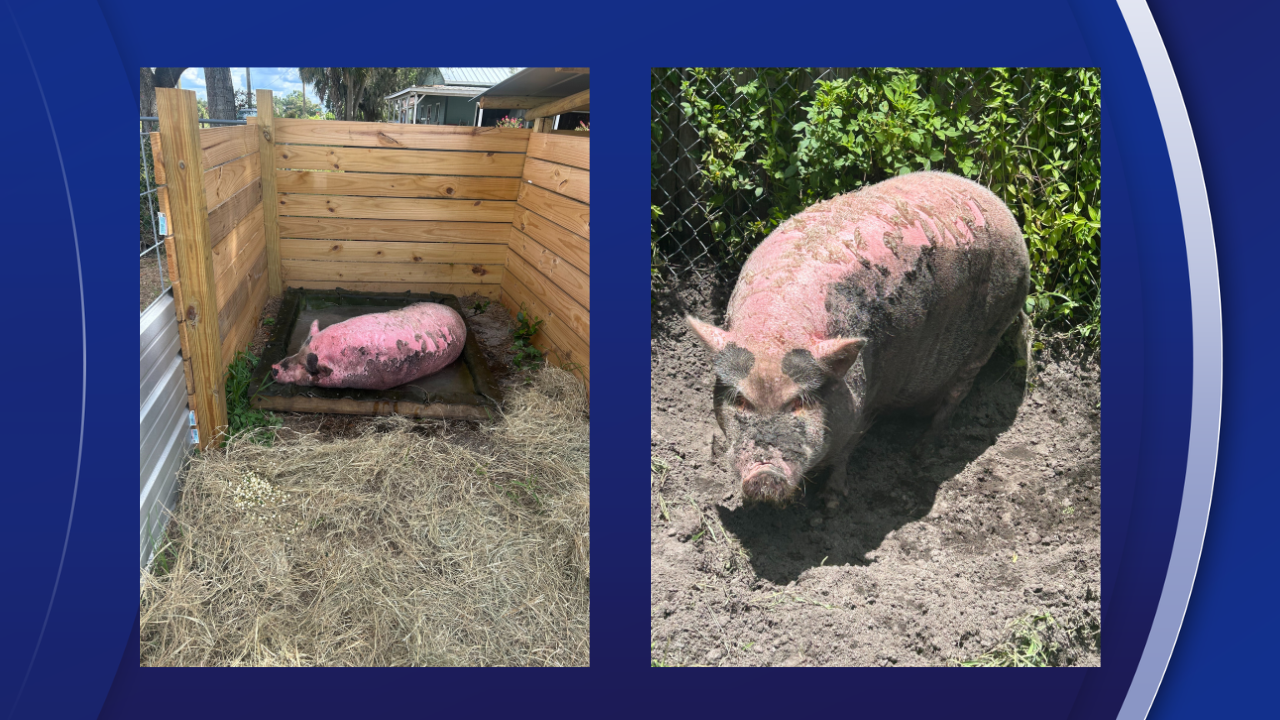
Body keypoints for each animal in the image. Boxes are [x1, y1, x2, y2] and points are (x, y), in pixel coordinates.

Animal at [688, 171, 1030, 507]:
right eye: (741, 400)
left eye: (798, 401)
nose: (764, 475)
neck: (775, 331)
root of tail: (1005, 212)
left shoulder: (864, 401)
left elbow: (845, 452)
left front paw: (830, 504)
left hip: (993, 328)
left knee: (957, 394)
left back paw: (920, 452)